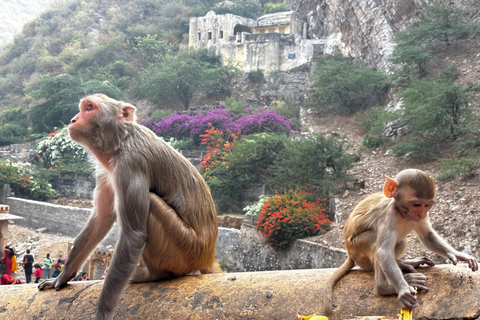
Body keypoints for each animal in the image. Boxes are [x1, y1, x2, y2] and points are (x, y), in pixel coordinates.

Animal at [38, 94, 222, 320]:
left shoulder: (130, 165)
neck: (121, 141)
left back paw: (152, 274)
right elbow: (101, 219)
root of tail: (207, 255)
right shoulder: (107, 171)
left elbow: (133, 235)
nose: (72, 120)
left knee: (152, 204)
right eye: (83, 108)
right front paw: (63, 277)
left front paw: (103, 312)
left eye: (89, 108)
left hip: (186, 249)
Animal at [322, 170, 476, 316]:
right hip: (358, 248)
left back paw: (403, 263)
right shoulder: (389, 215)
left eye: (426, 205)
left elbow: (427, 236)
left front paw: (459, 254)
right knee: (376, 243)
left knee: (400, 241)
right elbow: (383, 251)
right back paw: (385, 287)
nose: (420, 214)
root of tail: (350, 254)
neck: (402, 213)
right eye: (416, 204)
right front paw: (403, 290)